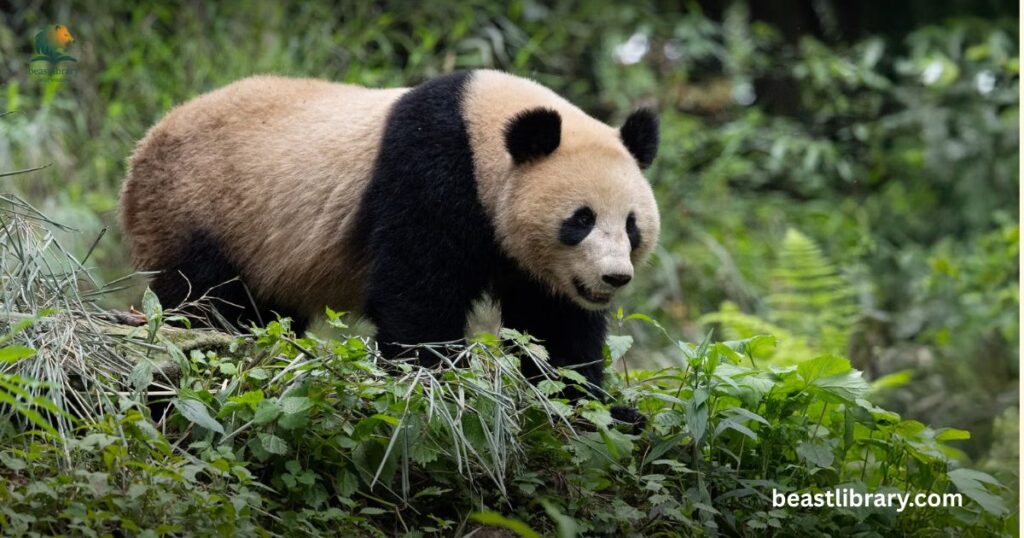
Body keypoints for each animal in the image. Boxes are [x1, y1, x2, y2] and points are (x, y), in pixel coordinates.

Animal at [120, 69, 660, 409]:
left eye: (631, 225)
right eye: (580, 220)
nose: (613, 277)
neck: (483, 130)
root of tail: (143, 146)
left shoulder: (532, 262)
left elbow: (553, 325)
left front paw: (590, 404)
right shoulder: (430, 171)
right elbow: (417, 290)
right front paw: (441, 382)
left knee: (267, 315)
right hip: (198, 208)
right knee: (206, 300)